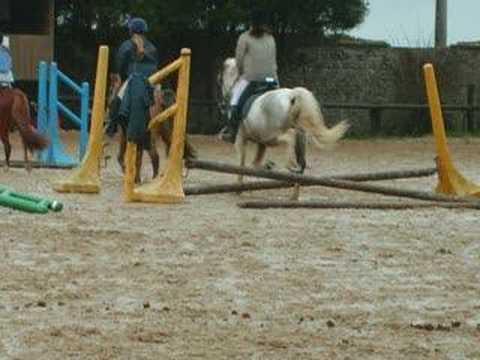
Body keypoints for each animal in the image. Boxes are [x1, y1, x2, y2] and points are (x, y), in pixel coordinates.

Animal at [220, 58, 348, 186]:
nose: (222, 101)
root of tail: (292, 94)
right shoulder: (261, 142)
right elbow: (255, 162)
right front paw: (267, 166)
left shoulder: (241, 138)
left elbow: (241, 164)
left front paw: (239, 184)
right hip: (297, 134)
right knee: (300, 156)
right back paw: (297, 168)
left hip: (273, 135)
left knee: (290, 136)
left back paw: (290, 165)